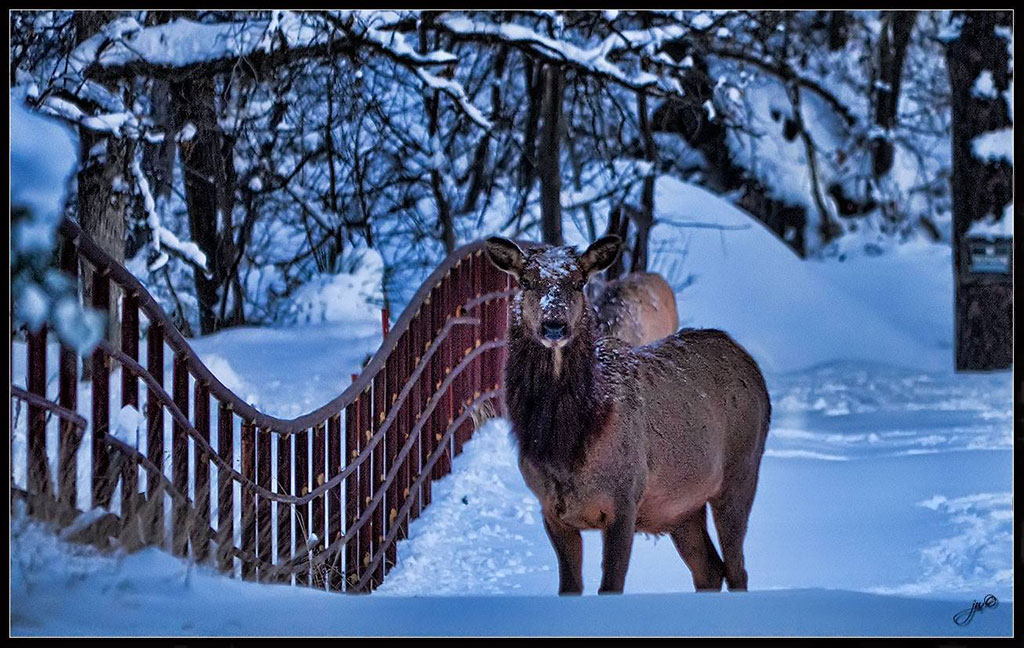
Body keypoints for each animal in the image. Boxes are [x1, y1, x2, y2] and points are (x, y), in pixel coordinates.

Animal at [485, 235, 771, 595]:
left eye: (579, 282)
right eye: (526, 281)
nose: (554, 326)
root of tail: (750, 365)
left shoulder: (625, 500)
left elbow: (611, 586)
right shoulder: (551, 510)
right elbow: (569, 587)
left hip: (741, 471)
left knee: (736, 569)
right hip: (681, 507)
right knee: (709, 569)